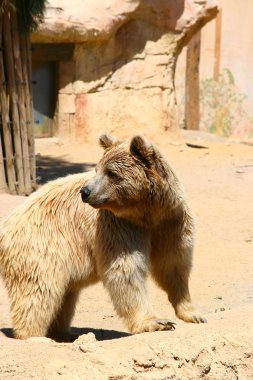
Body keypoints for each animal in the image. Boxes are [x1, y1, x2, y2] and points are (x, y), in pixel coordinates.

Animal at [0, 135, 206, 340]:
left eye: (111, 173)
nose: (85, 192)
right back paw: (33, 335)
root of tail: (6, 226)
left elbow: (173, 266)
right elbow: (126, 270)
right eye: (97, 169)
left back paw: (65, 333)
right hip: (40, 248)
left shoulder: (171, 224)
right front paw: (156, 322)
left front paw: (192, 313)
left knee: (64, 297)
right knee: (39, 294)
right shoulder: (119, 226)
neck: (148, 214)